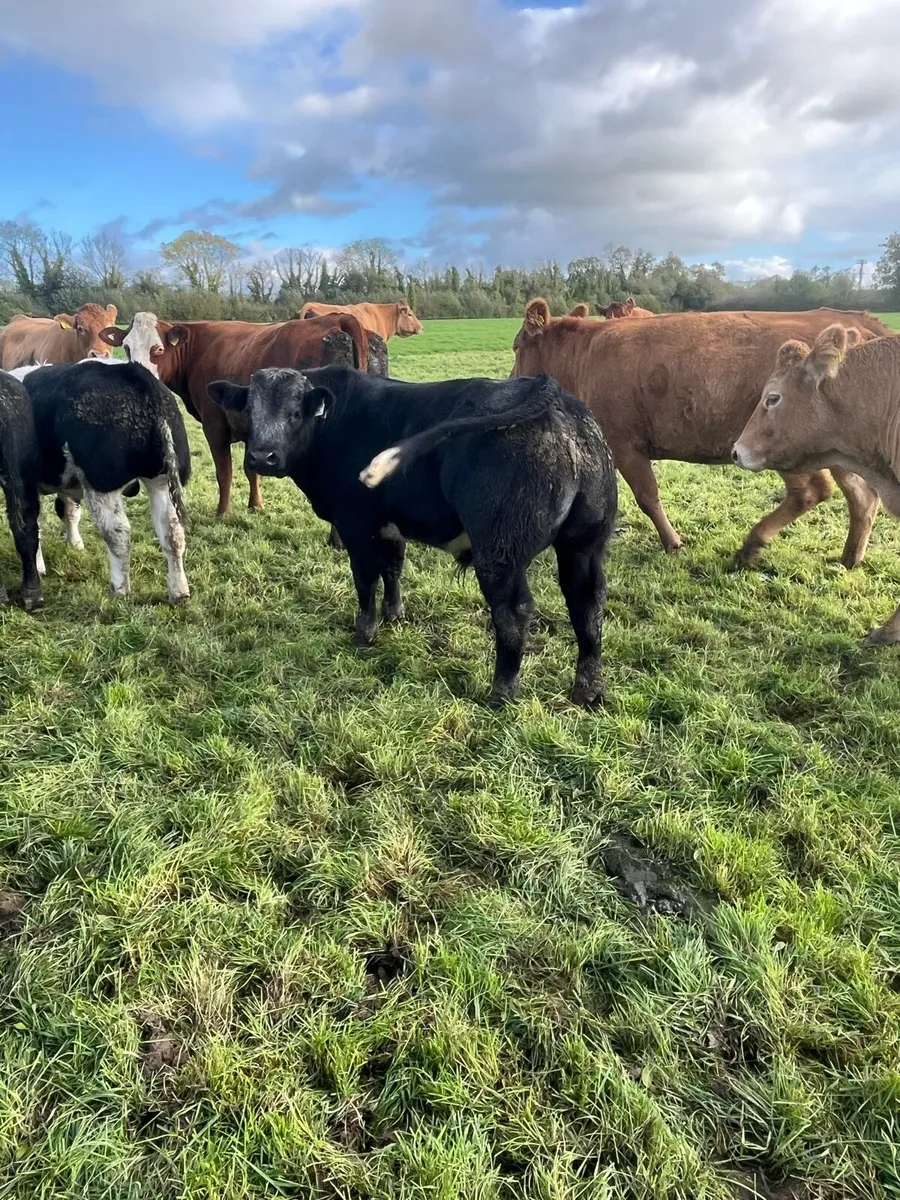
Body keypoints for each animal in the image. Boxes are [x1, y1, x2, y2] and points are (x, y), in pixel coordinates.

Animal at [15, 360, 191, 604]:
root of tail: (137, 376)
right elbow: (67, 511)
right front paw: (75, 545)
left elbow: (32, 525)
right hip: (162, 481)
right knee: (172, 532)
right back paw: (179, 591)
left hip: (102, 485)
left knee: (118, 534)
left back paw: (120, 589)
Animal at [99, 312, 381, 516]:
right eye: (126, 348)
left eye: (157, 349)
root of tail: (339, 317)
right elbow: (251, 469)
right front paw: (256, 505)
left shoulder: (214, 425)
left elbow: (224, 472)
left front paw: (223, 512)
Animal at [207, 366, 618, 708]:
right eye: (250, 412)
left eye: (295, 414)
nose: (262, 457)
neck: (335, 424)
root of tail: (555, 397)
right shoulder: (391, 525)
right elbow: (393, 568)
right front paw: (394, 616)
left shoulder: (356, 523)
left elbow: (366, 578)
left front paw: (365, 632)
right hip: (584, 545)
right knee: (587, 604)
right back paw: (588, 690)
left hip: (500, 553)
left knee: (514, 611)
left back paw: (502, 692)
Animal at [513, 299, 889, 567]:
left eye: (516, 346)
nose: (511, 379)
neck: (584, 355)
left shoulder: (624, 445)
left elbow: (648, 497)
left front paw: (672, 542)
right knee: (862, 496)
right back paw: (850, 557)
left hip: (785, 445)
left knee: (811, 492)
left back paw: (753, 545)